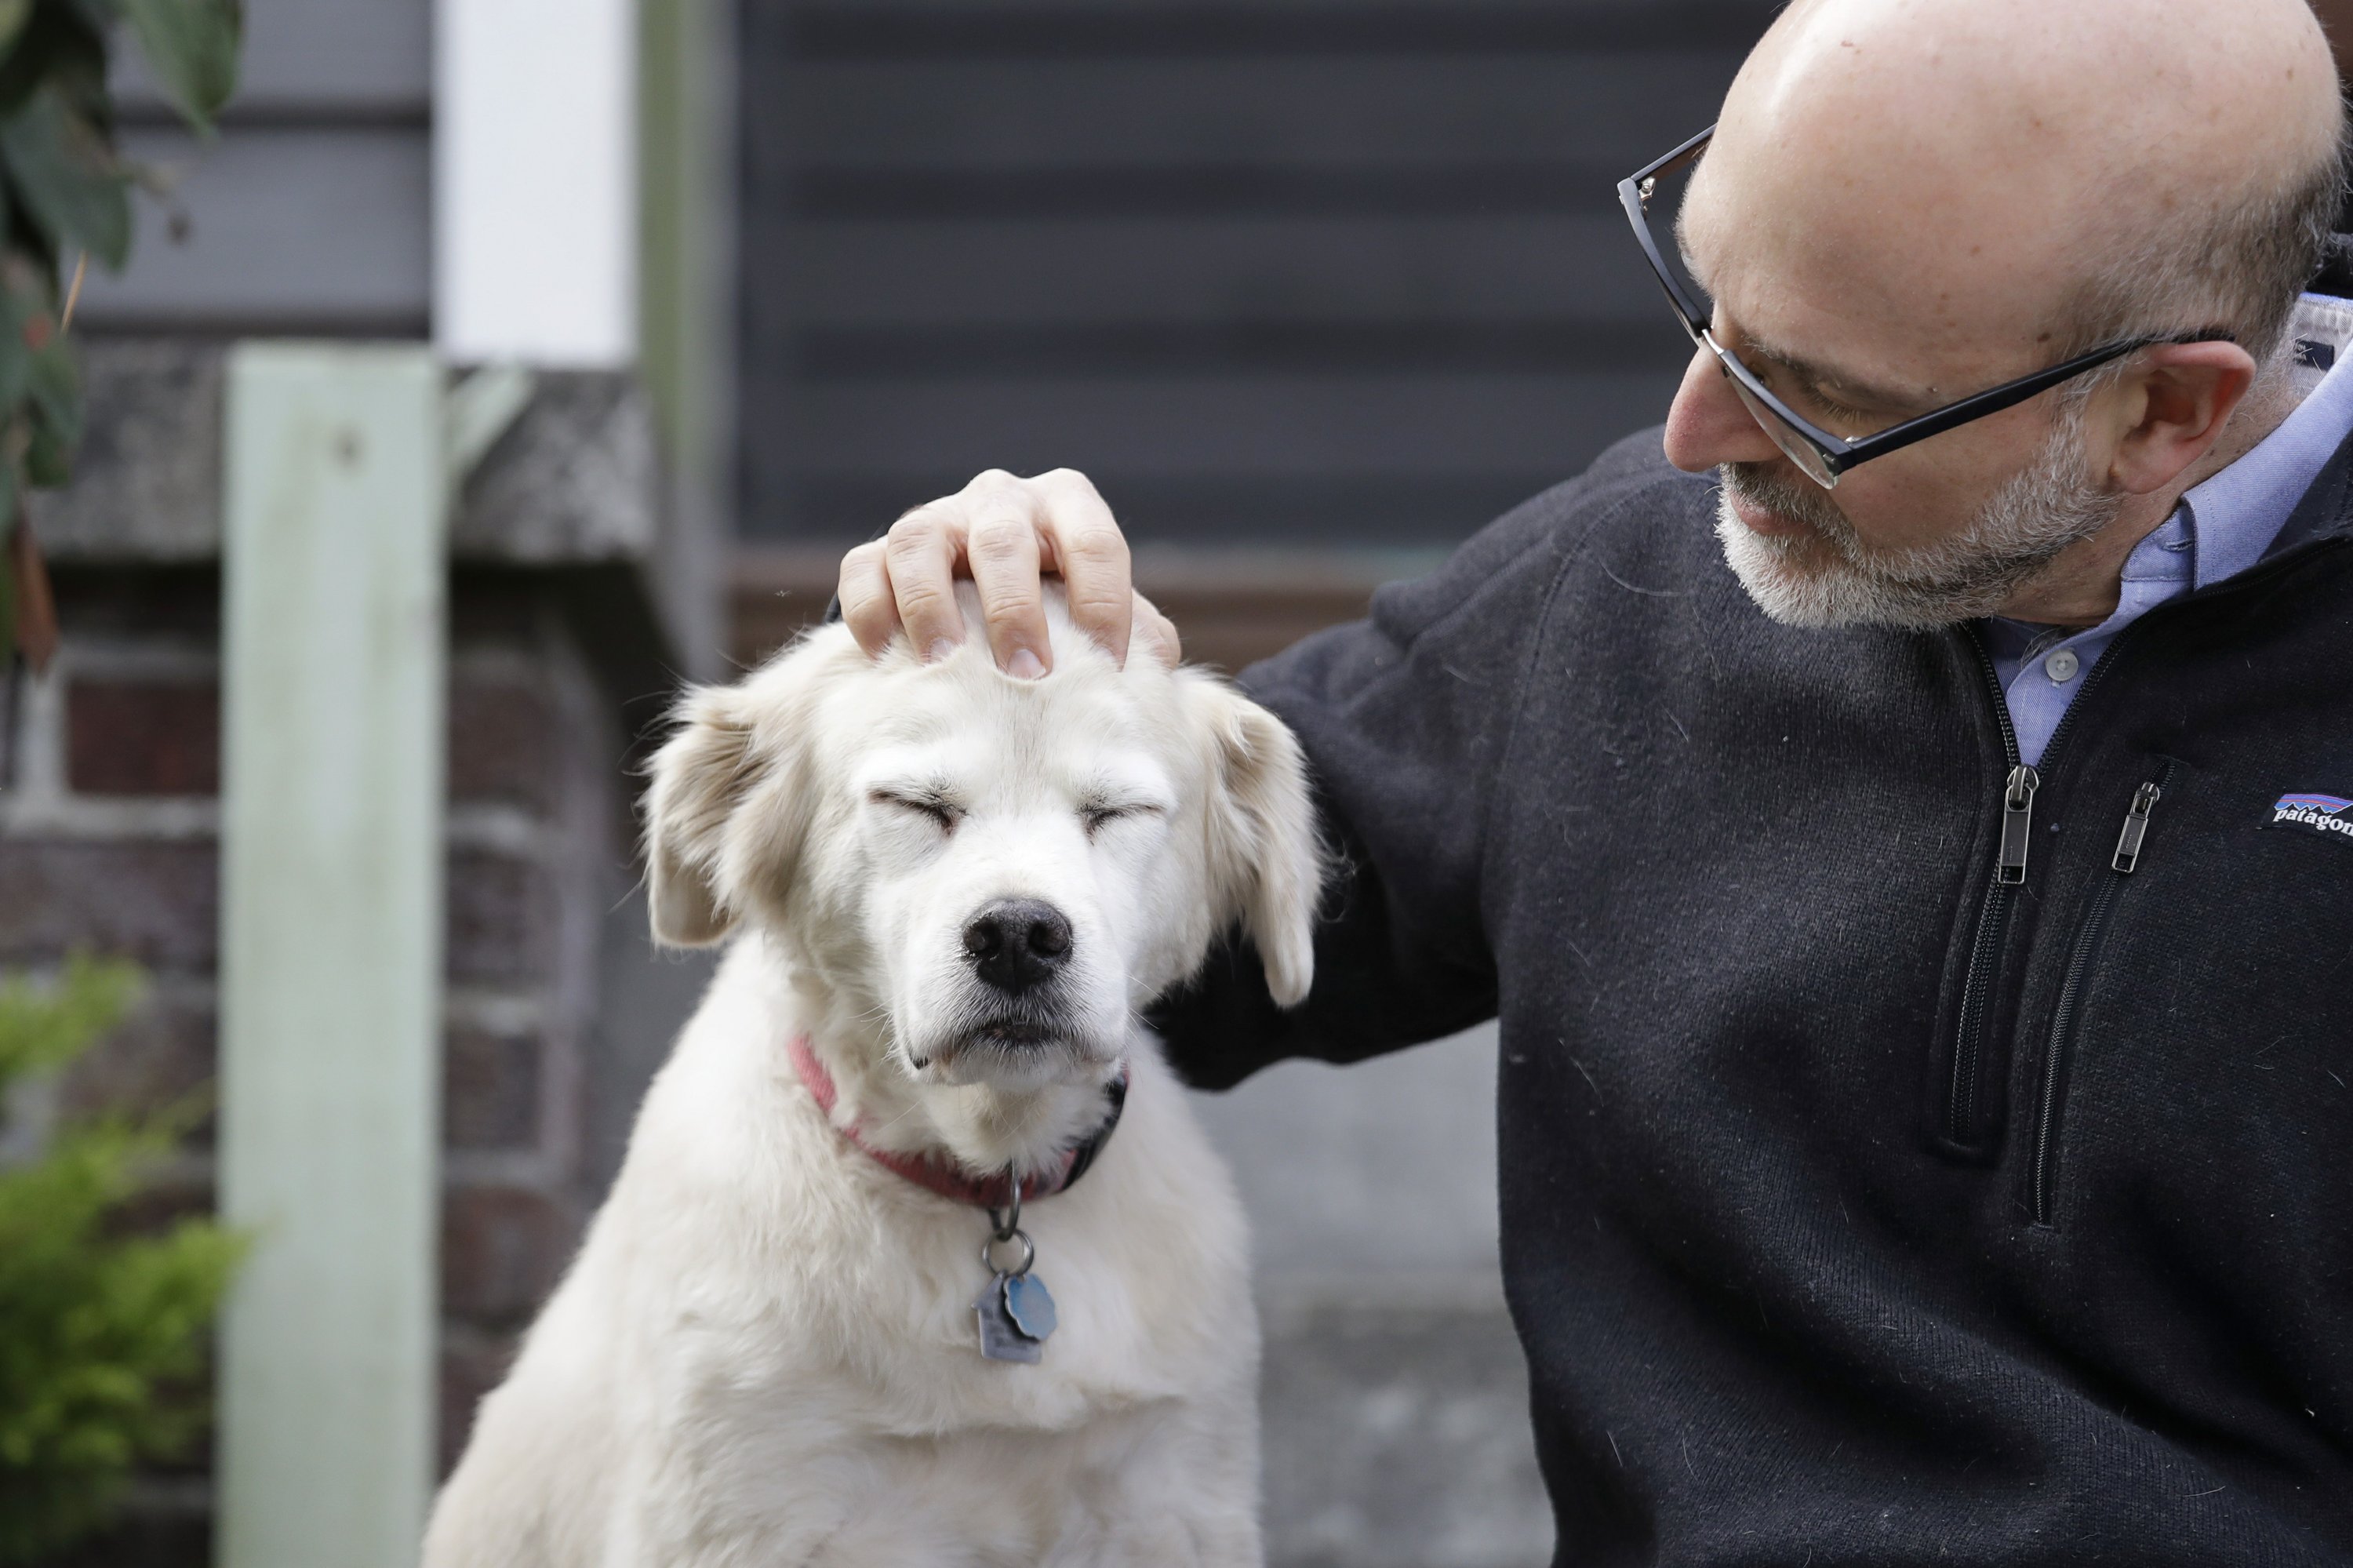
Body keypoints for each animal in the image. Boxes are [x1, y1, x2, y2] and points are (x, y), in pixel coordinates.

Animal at [424, 588, 1327, 1563]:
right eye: (917, 804)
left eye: (1115, 811)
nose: (1018, 936)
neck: (983, 1177)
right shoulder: (743, 1505)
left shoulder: (1172, 1496)